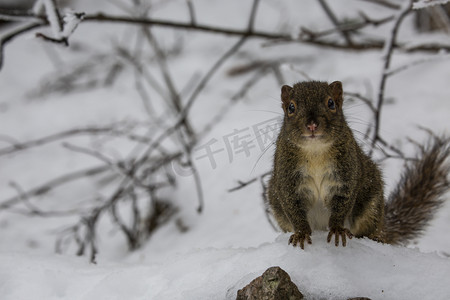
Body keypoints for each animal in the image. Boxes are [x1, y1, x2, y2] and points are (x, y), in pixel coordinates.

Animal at [268, 80, 450, 248]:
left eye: (331, 103)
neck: (315, 151)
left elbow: (343, 203)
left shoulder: (347, 173)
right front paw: (301, 233)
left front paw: (337, 229)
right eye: (291, 107)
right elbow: (292, 207)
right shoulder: (287, 179)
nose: (312, 124)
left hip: (371, 207)